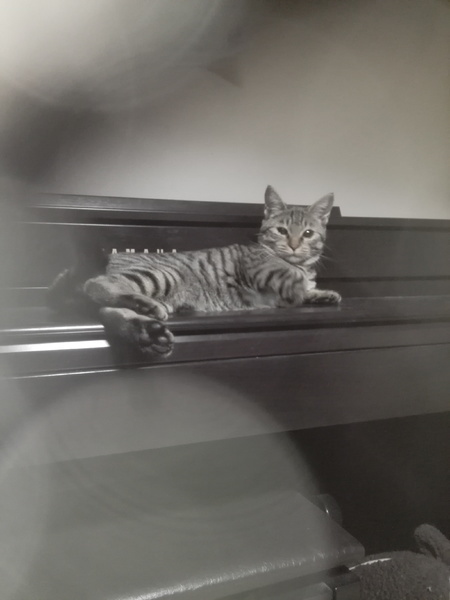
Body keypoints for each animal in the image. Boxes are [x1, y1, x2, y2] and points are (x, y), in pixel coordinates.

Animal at [47, 186, 341, 358]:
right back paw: (145, 309)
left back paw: (146, 333)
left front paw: (322, 293)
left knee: (106, 309)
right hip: (160, 276)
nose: (294, 245)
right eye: (281, 230)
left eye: (308, 233)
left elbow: (308, 289)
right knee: (99, 285)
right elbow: (290, 278)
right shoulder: (261, 269)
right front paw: (302, 283)